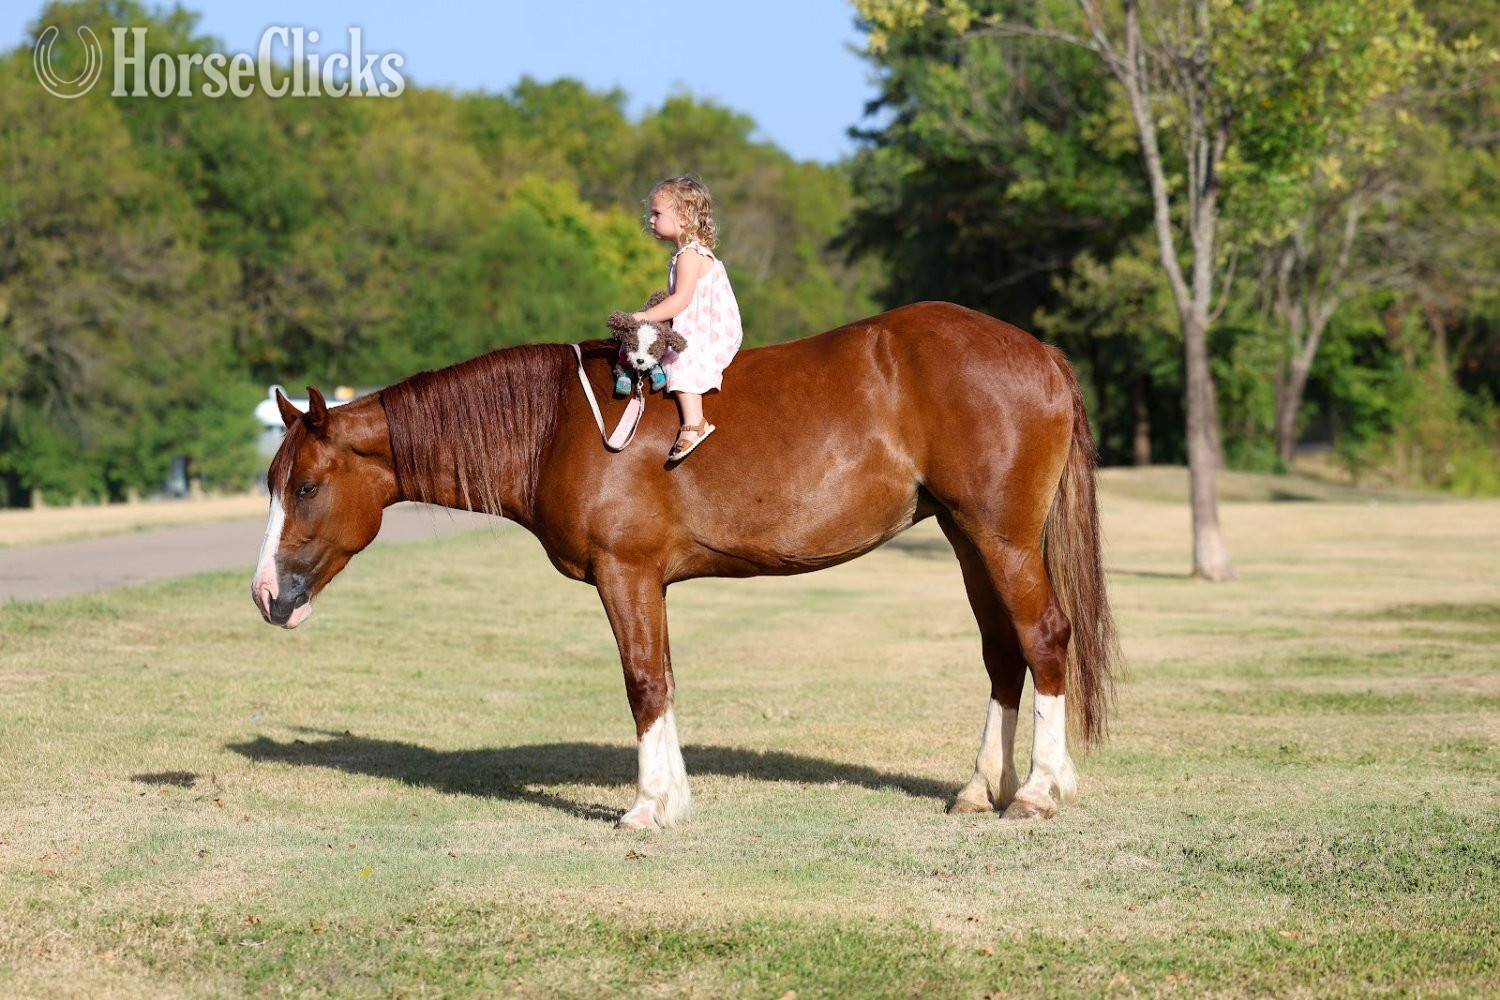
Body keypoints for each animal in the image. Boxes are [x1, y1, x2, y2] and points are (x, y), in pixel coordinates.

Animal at [251, 301, 1119, 830]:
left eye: (306, 485)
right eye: (270, 481)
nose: (266, 596)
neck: (553, 425)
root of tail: (1040, 351)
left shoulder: (625, 574)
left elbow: (643, 682)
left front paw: (646, 807)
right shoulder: (645, 583)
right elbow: (663, 679)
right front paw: (672, 800)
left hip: (1001, 538)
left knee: (1045, 637)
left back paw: (1038, 791)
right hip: (969, 539)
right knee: (1003, 654)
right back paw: (980, 788)